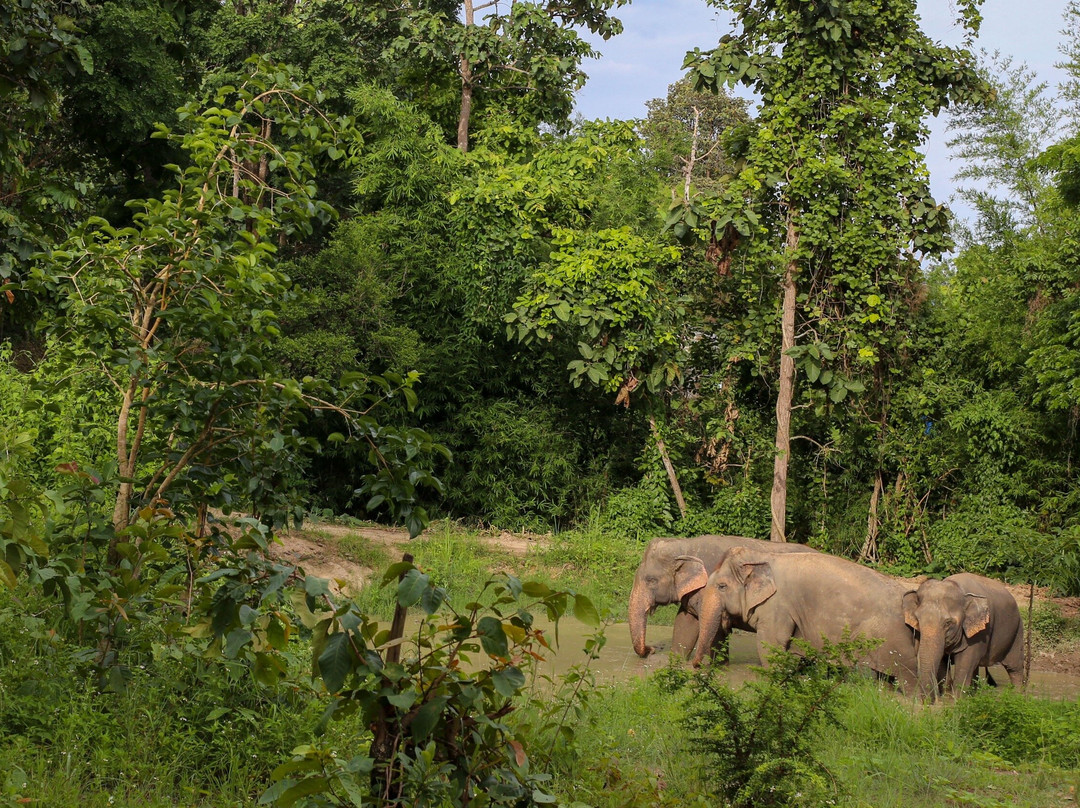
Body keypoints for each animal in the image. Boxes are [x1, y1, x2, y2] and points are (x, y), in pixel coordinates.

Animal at [689, 546, 919, 693]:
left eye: (722, 586)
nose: (695, 666)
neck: (762, 557)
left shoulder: (776, 606)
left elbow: (771, 643)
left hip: (893, 639)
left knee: (907, 677)